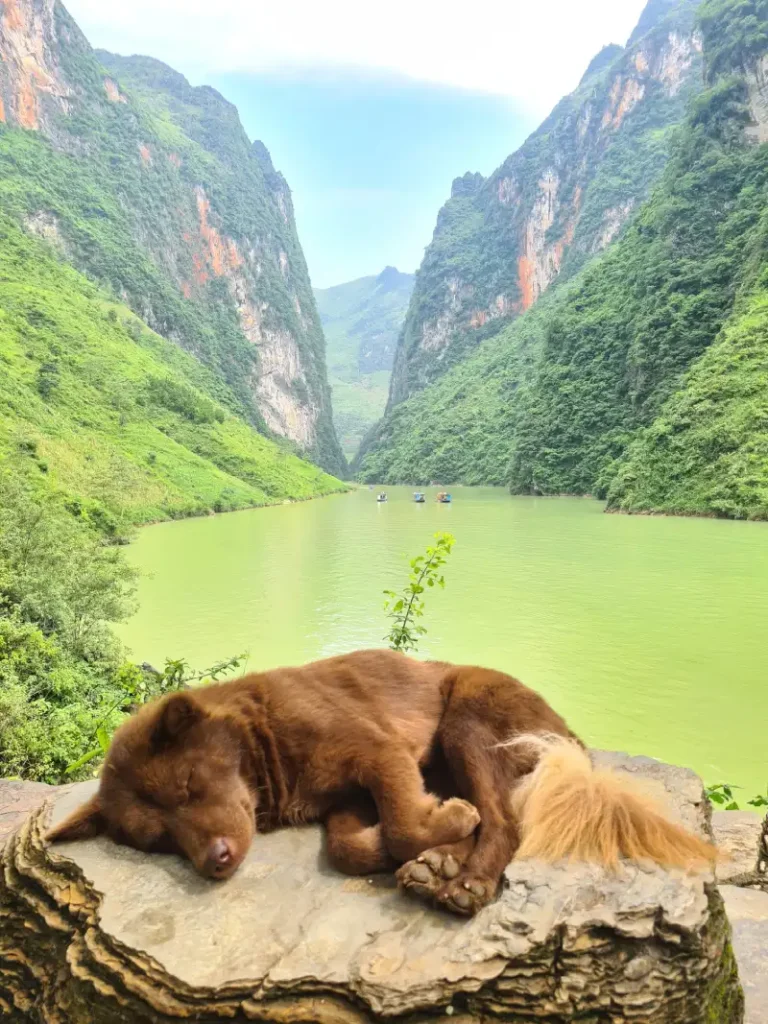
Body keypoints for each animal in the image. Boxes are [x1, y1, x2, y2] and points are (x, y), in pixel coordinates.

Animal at [48, 651, 720, 917]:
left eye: (188, 785)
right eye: (156, 839)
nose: (215, 861)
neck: (265, 735)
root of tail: (570, 741)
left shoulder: (377, 749)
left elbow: (401, 820)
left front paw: (443, 825)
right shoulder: (344, 797)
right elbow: (352, 847)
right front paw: (424, 840)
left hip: (467, 716)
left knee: (506, 819)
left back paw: (467, 879)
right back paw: (441, 864)